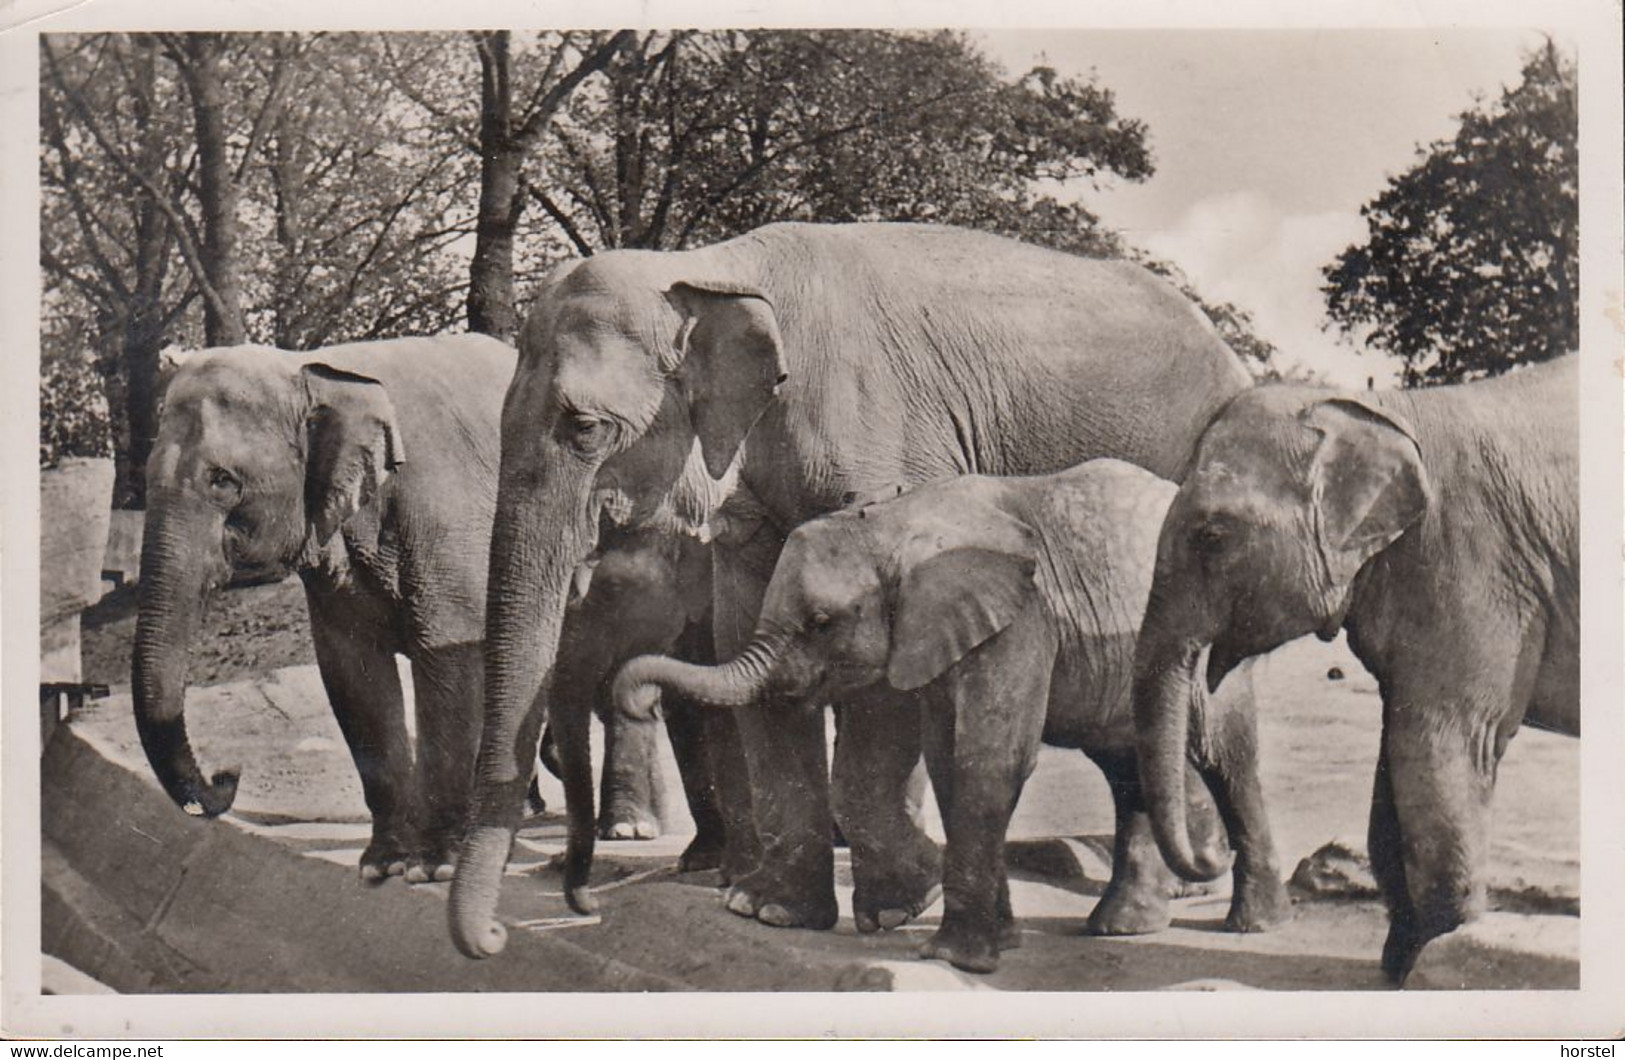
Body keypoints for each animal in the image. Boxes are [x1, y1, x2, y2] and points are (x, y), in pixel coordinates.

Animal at [134, 334, 698, 884]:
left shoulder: (444, 518)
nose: (227, 775)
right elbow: (353, 675)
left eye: (223, 480)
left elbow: (448, 662)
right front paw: (381, 865)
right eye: (144, 475)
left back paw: (625, 828)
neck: (317, 368)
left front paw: (433, 867)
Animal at [614, 458, 1287, 975]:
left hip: (1214, 633)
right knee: (1125, 764)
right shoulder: (940, 629)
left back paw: (1252, 925)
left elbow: (991, 755)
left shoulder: (1022, 618)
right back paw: (1123, 928)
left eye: (821, 623)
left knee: (1225, 757)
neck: (896, 523)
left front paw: (955, 958)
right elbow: (946, 757)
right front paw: (1000, 942)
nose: (637, 699)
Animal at [1131, 356, 1573, 988]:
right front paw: (1401, 961)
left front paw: (1440, 959)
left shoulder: (1471, 563)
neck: (1387, 410)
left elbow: (1446, 744)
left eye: (1211, 536)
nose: (1211, 856)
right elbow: (1396, 764)